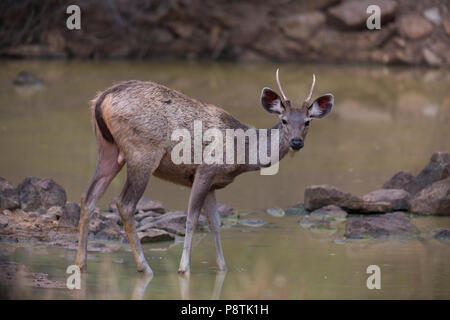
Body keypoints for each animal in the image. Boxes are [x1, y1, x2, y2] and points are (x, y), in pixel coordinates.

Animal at [74, 69, 334, 276]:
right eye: (284, 120)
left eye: (307, 122)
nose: (297, 142)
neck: (242, 153)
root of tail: (102, 98)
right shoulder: (204, 171)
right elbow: (191, 219)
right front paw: (184, 268)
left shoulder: (213, 184)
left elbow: (216, 223)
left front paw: (223, 267)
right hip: (142, 152)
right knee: (125, 204)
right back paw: (144, 267)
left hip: (108, 149)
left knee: (88, 196)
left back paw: (81, 264)